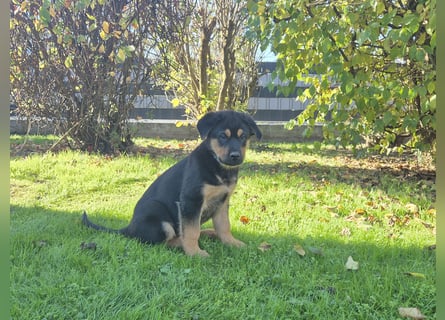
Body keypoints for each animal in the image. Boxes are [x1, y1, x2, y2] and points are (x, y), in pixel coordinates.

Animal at [81, 111, 260, 256]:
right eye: (223, 136)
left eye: (243, 137)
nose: (235, 156)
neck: (218, 166)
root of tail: (129, 228)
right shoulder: (191, 200)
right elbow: (192, 231)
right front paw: (194, 252)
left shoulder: (222, 201)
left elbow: (224, 226)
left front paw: (232, 243)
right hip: (158, 213)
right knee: (163, 242)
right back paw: (185, 243)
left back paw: (209, 233)